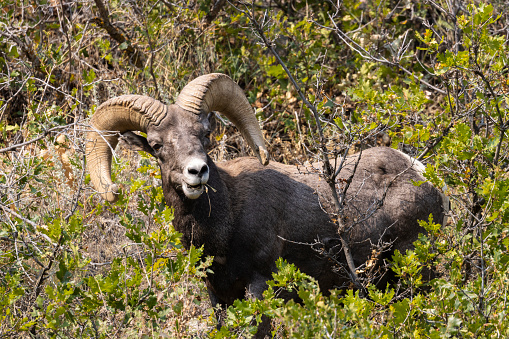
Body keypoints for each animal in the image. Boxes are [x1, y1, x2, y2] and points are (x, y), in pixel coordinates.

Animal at [87, 73, 448, 336]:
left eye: (204, 135)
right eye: (157, 145)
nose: (197, 172)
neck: (226, 225)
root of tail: (419, 173)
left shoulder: (260, 289)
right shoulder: (219, 297)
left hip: (414, 272)